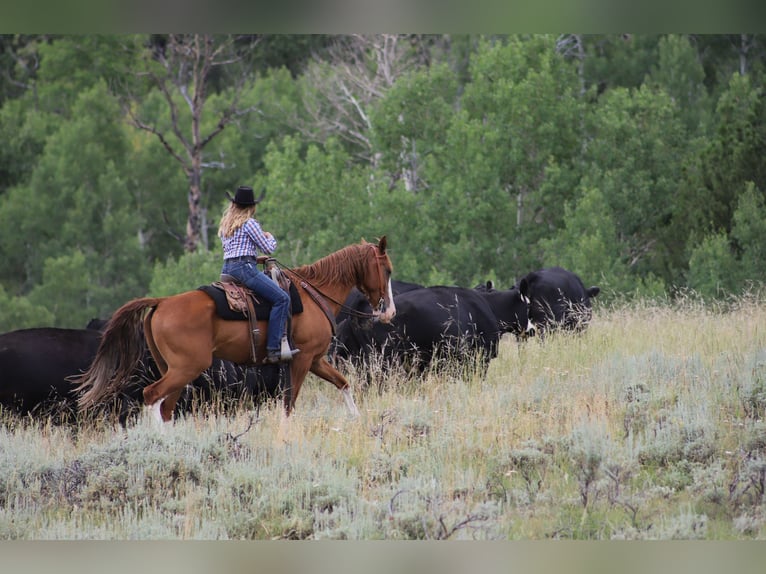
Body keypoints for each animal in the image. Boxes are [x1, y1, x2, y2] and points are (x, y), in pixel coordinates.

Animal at [75, 237, 396, 424]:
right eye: (388, 269)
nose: (389, 311)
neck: (312, 294)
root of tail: (162, 302)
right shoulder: (303, 360)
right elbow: (290, 404)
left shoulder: (315, 360)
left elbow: (343, 384)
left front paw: (357, 419)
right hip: (186, 367)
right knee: (153, 397)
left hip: (174, 369)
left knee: (166, 407)